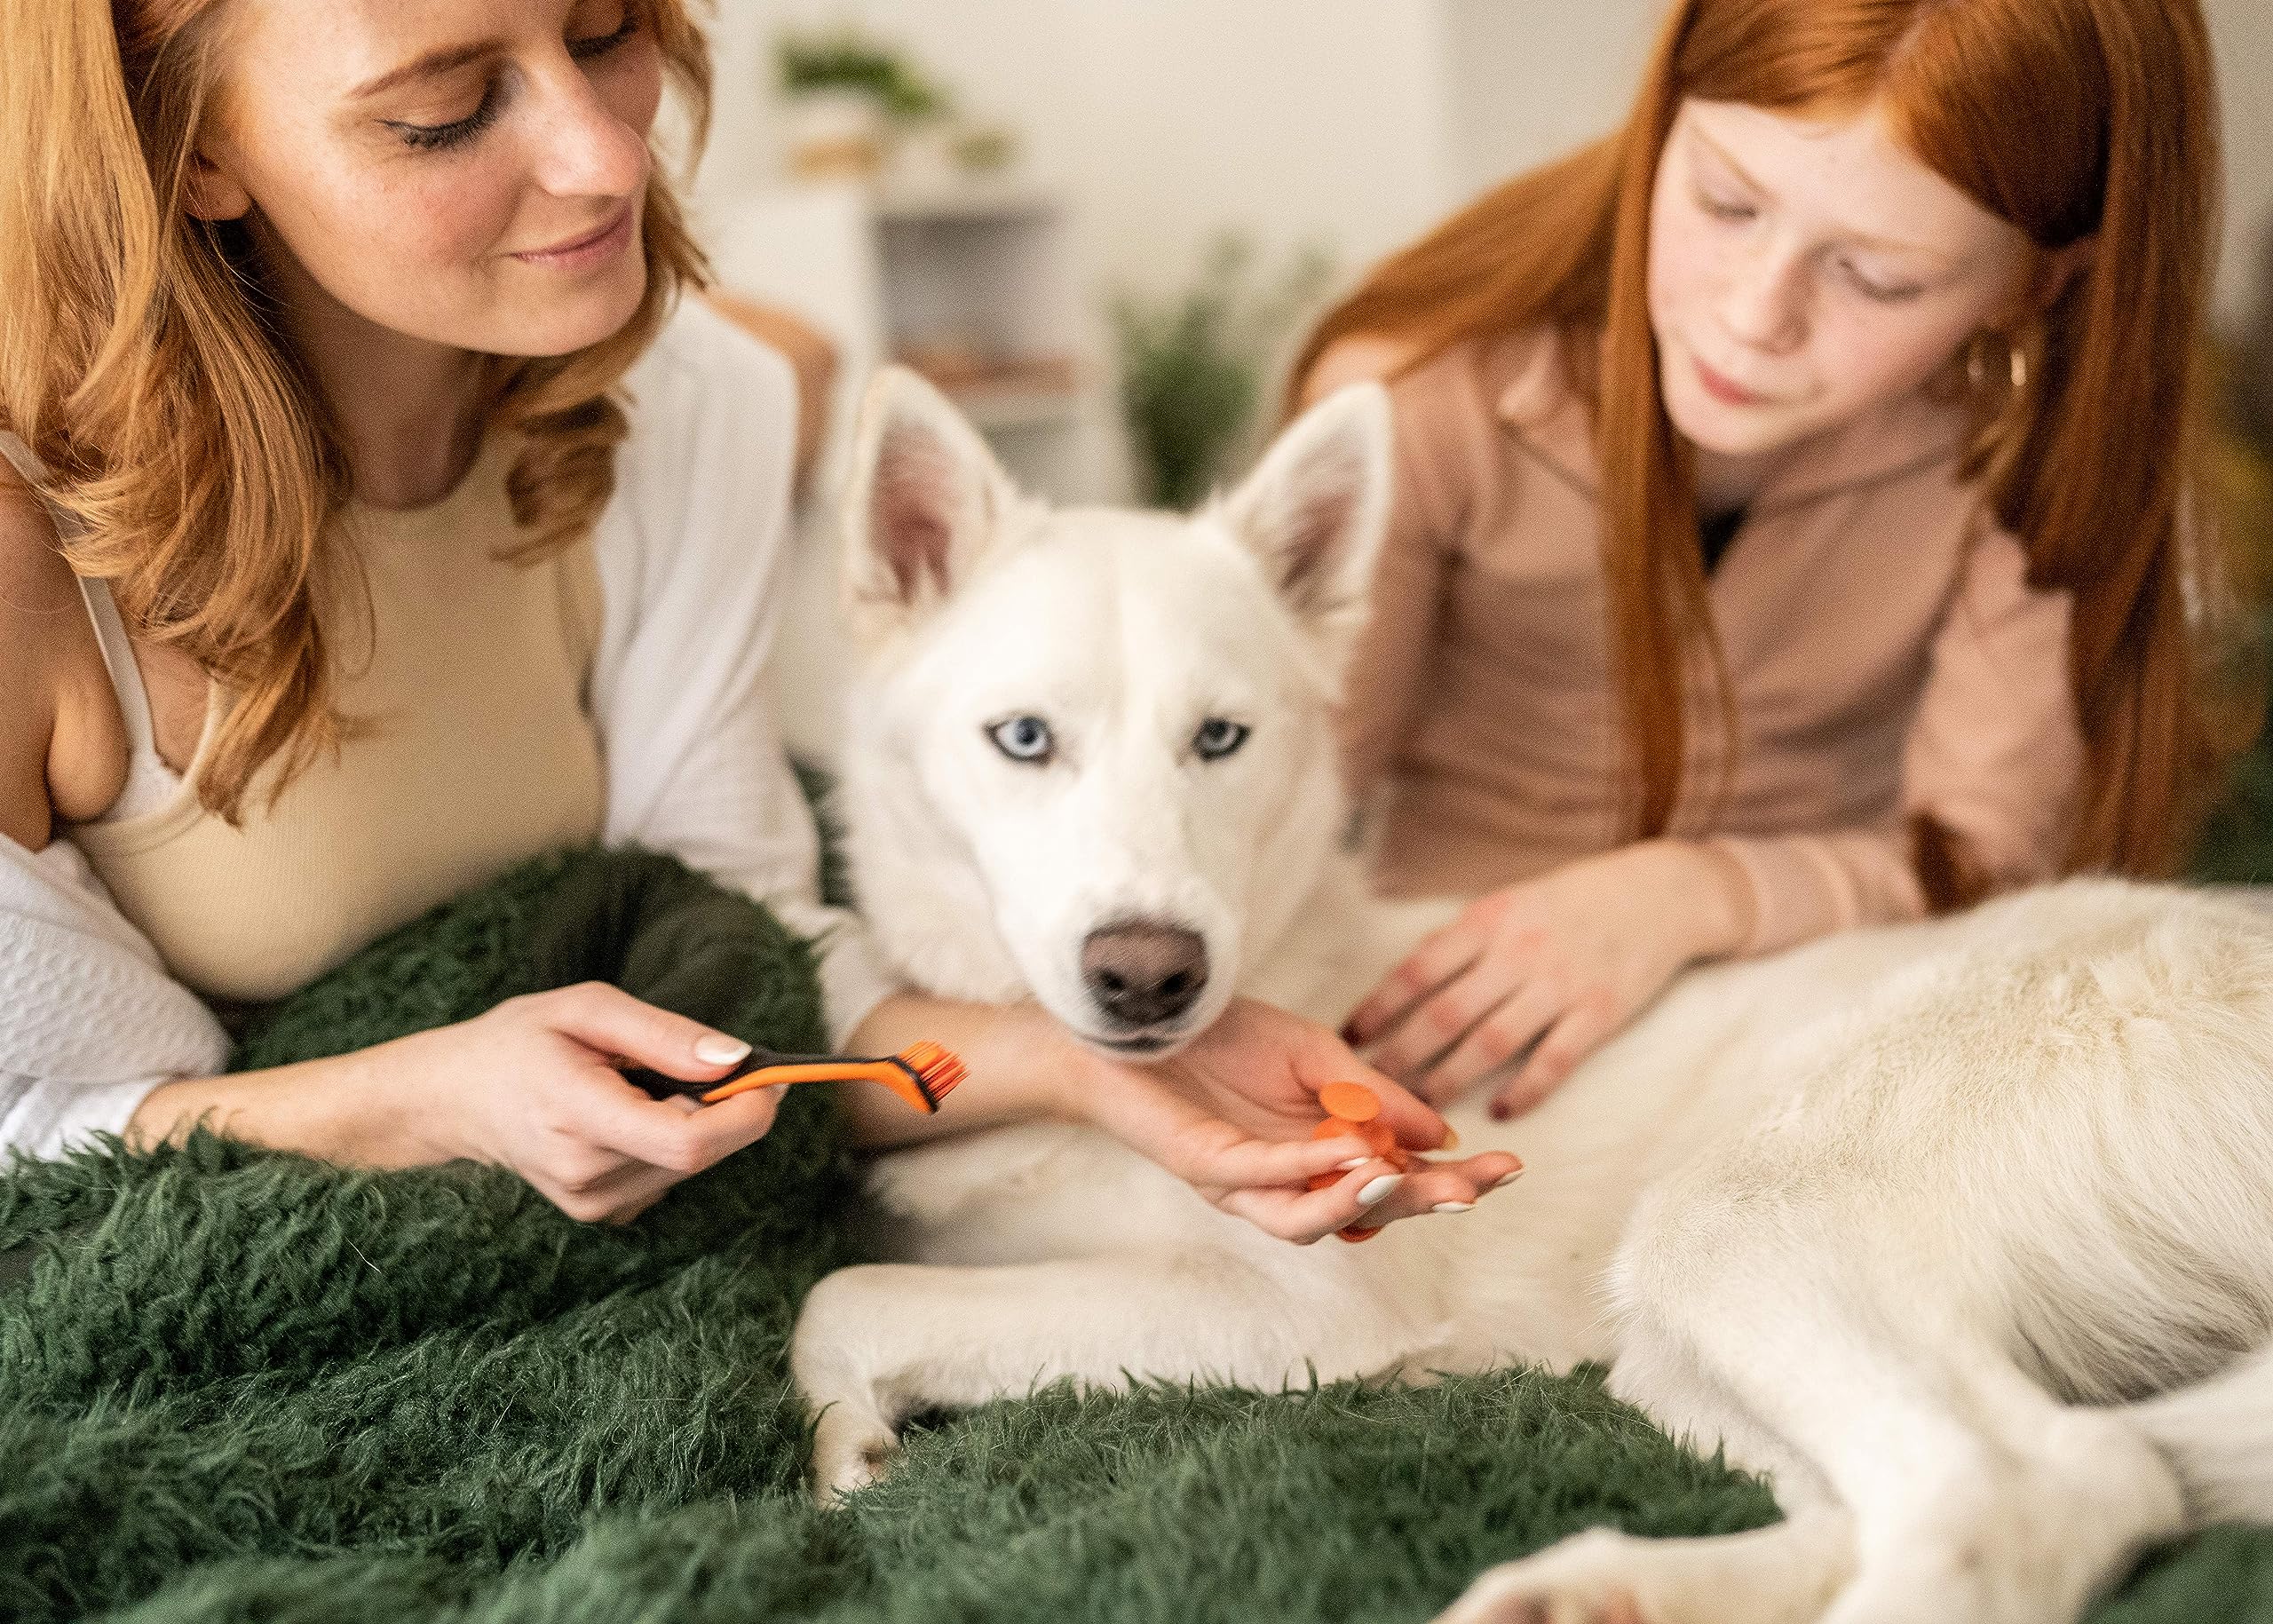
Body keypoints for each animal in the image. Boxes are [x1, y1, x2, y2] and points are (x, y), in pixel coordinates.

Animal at [790, 366, 2273, 1619]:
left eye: (1220, 738)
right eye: (1022, 739)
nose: (1151, 973)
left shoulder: (1299, 1304)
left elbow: (845, 1295)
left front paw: (844, 1445)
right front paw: (848, 1446)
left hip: (1736, 1214)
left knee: (2042, 1485)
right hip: (1672, 1334)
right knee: (1889, 1494)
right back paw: (1593, 1590)